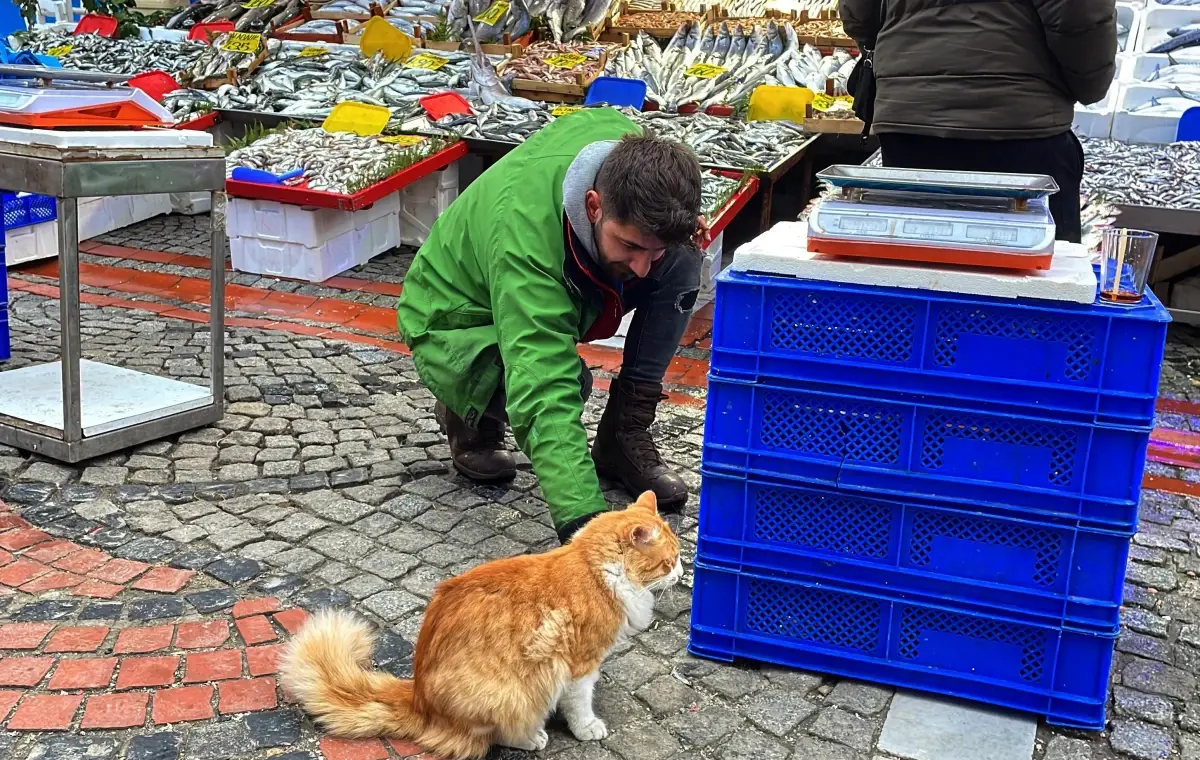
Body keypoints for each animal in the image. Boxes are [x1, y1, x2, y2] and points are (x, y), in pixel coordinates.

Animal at [274, 489, 681, 753]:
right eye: (668, 561)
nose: (681, 574)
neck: (595, 570)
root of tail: (419, 699)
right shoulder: (580, 663)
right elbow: (580, 703)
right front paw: (587, 728)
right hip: (515, 692)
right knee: (496, 734)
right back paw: (532, 738)